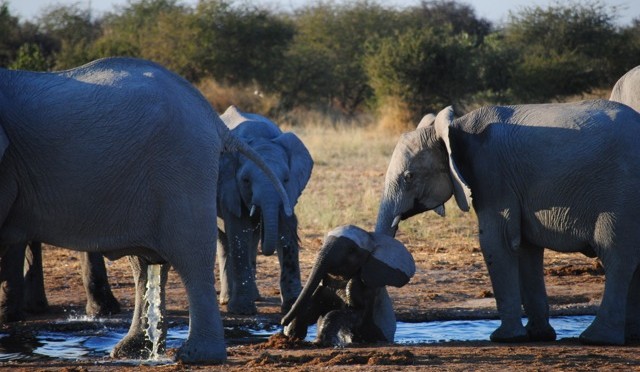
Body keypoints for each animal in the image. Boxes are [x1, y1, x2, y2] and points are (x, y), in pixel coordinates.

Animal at [0, 56, 292, 362]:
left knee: (190, 256)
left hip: (182, 163)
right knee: (145, 263)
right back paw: (132, 351)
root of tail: (211, 116)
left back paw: (194, 356)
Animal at [218, 104, 312, 314]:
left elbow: (285, 228)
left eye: (286, 179)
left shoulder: (287, 193)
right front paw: (242, 310)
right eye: (245, 180)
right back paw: (227, 300)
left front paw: (292, 306)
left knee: (251, 238)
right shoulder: (229, 186)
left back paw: (255, 296)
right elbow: (238, 229)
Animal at [282, 225, 416, 348]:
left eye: (351, 250)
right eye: (323, 241)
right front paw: (291, 335)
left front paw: (318, 342)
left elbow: (344, 313)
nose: (282, 321)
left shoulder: (368, 289)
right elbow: (311, 307)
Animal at [378, 99, 640, 346]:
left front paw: (505, 338)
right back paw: (629, 337)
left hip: (621, 195)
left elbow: (496, 241)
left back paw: (596, 338)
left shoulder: (492, 174)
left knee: (616, 258)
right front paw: (538, 336)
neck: (457, 127)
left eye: (409, 176)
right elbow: (525, 248)